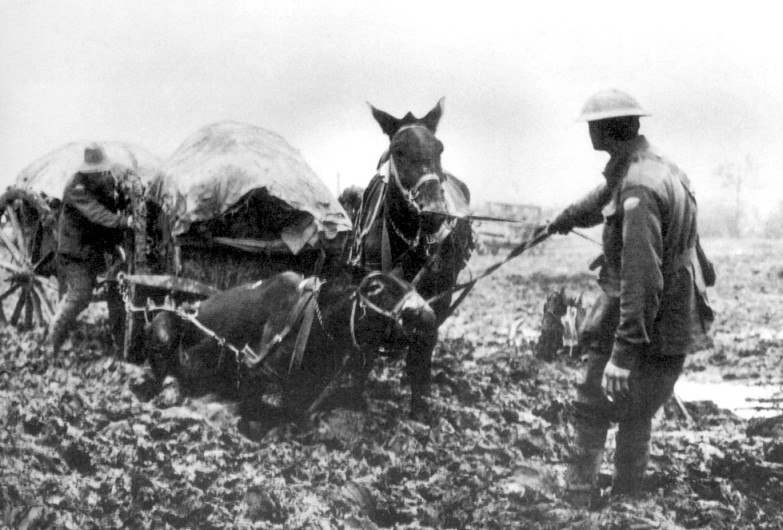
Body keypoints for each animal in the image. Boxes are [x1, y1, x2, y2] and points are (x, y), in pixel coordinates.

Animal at [352, 96, 474, 416]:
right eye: (397, 150)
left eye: (439, 148)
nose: (435, 213)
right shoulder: (370, 285)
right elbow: (367, 340)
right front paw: (354, 398)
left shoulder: (441, 294)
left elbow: (425, 343)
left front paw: (420, 405)